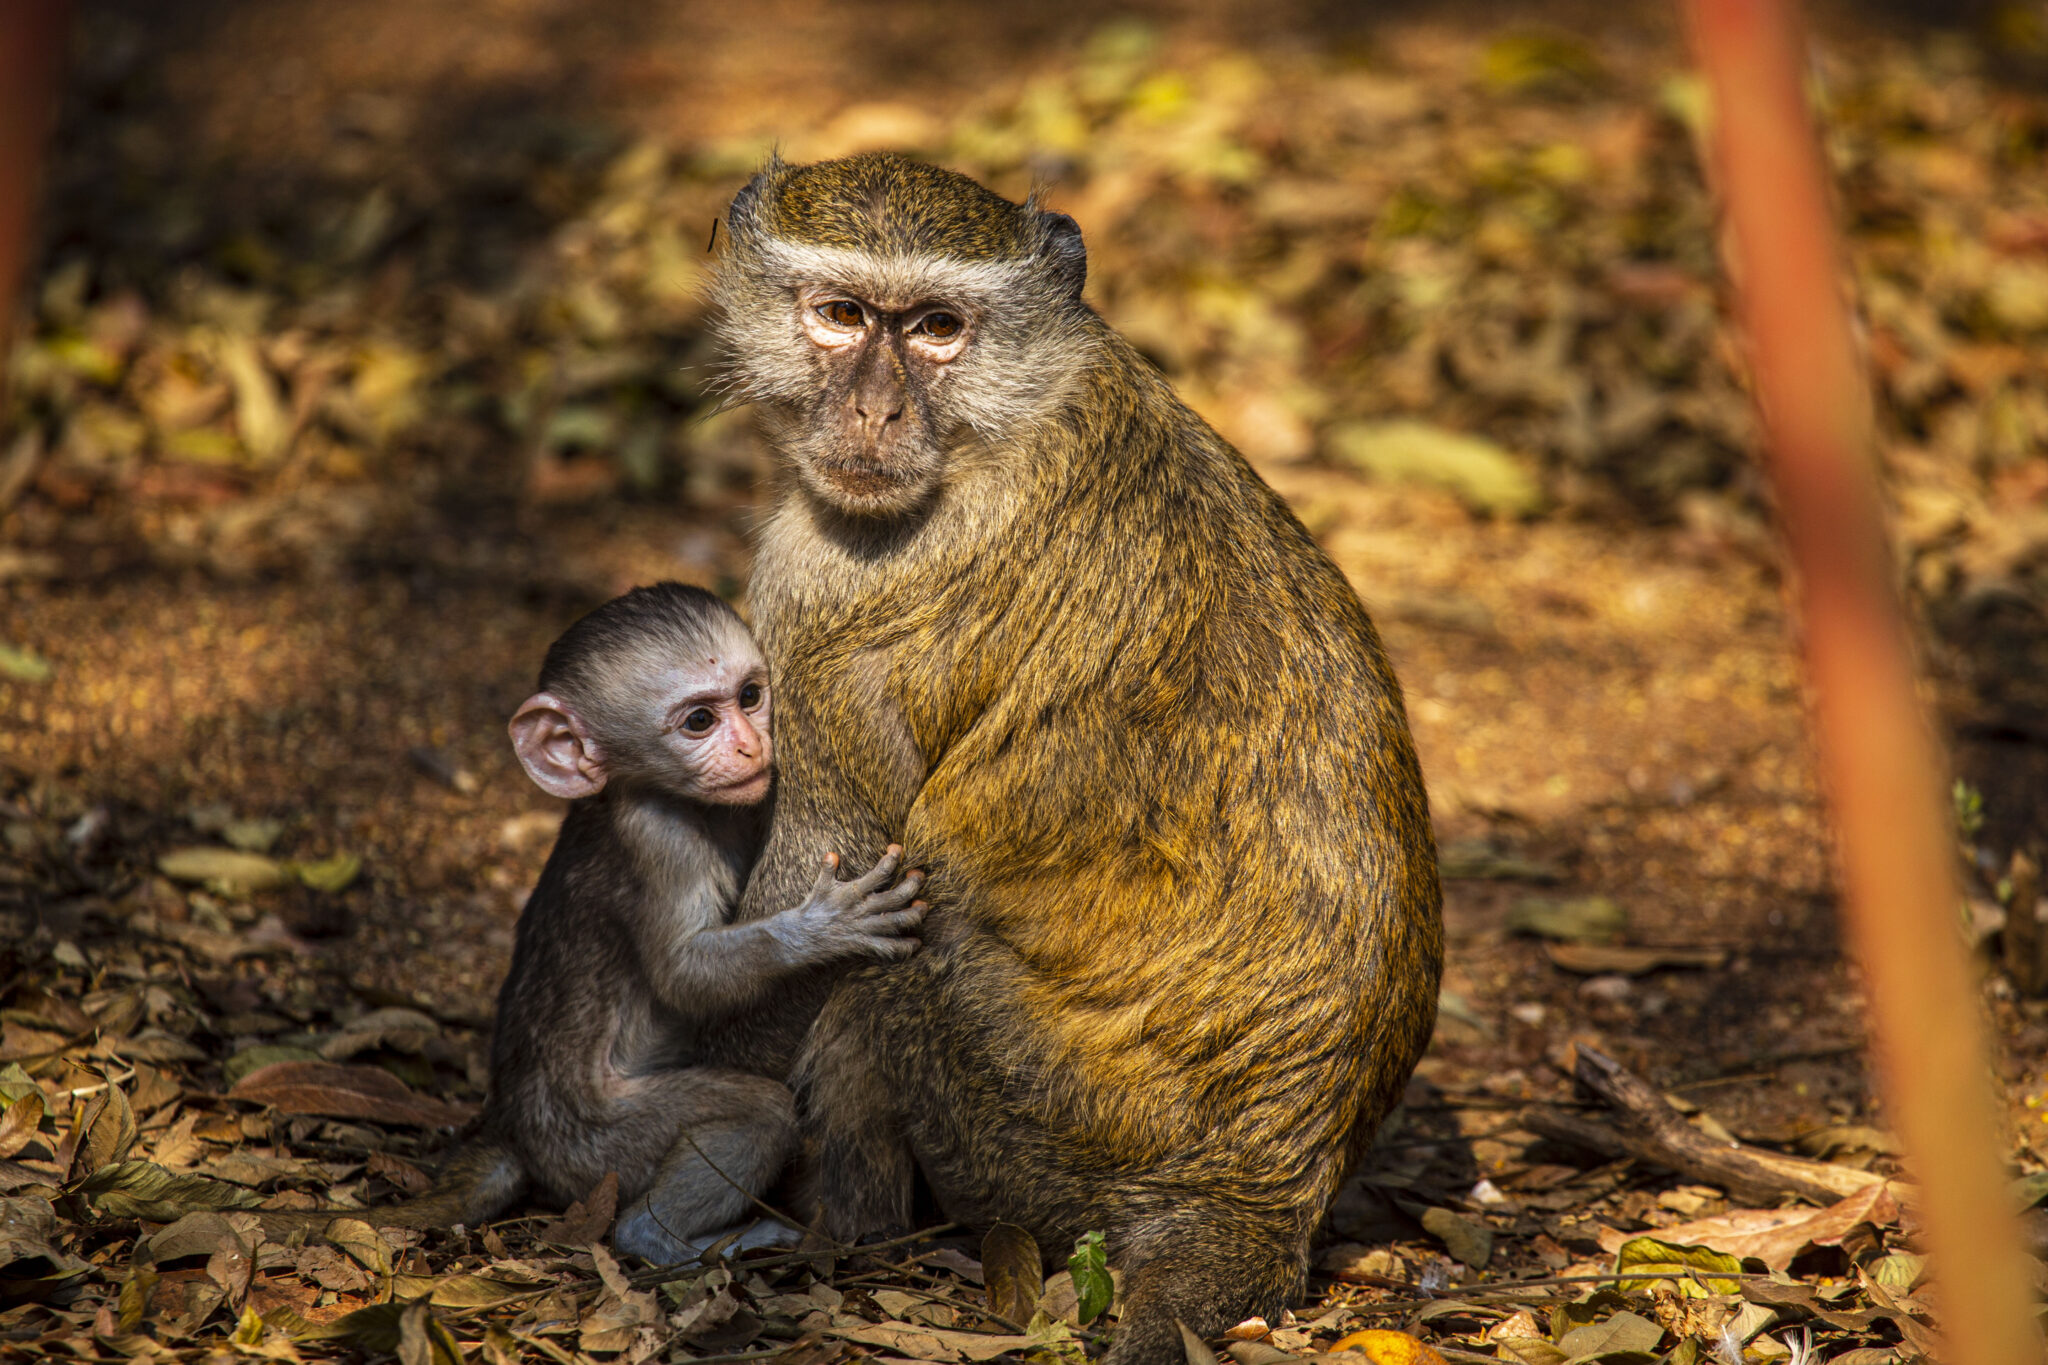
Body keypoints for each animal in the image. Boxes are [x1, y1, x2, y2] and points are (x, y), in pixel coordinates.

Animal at [491, 581, 925, 1268]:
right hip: (598, 1142)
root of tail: (516, 1131)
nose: (750, 746)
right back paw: (677, 1241)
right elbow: (683, 977)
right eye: (699, 721)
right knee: (758, 1114)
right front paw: (821, 929)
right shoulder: (660, 839)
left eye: (750, 696)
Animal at [720, 152, 1441, 1365]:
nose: (873, 409)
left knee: (910, 959)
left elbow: (826, 892)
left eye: (938, 327)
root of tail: (1268, 1193)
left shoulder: (821, 602)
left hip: (1048, 1131)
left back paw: (851, 1234)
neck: (1012, 413)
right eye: (840, 315)